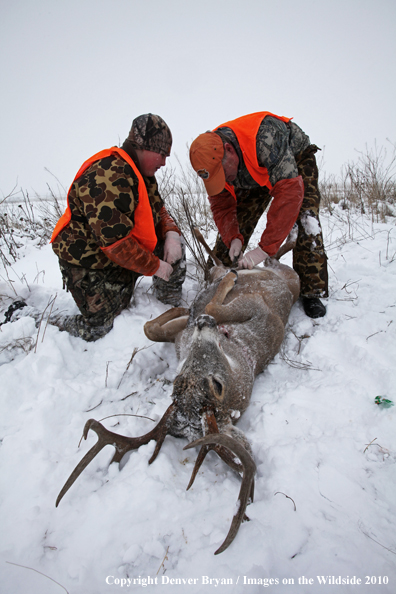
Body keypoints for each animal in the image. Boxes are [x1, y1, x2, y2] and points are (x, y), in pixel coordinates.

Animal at [55, 228, 296, 556]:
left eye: (217, 385)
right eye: (178, 381)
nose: (203, 324)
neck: (234, 345)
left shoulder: (258, 310)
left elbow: (209, 306)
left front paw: (219, 289)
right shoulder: (182, 336)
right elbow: (150, 328)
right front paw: (186, 306)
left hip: (284, 276)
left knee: (267, 260)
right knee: (240, 261)